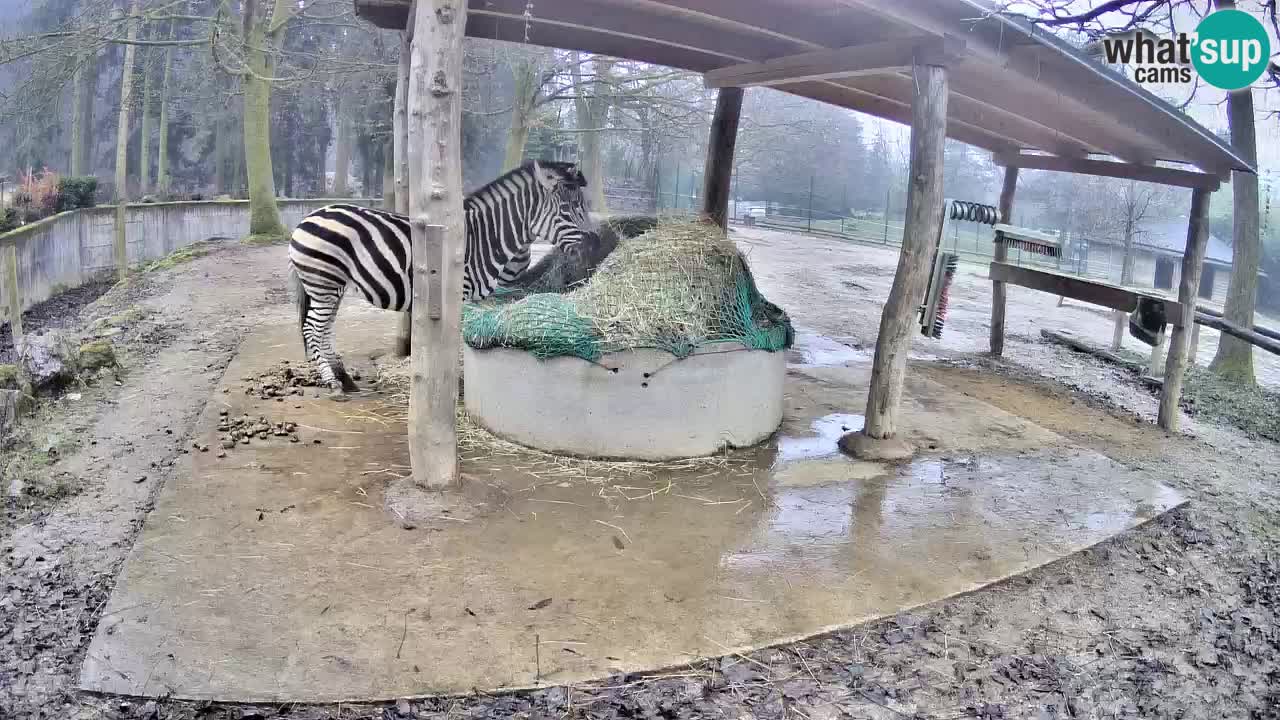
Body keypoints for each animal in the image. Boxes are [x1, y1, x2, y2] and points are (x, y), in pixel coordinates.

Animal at [287, 159, 595, 398]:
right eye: (569, 209)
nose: (594, 246)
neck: (482, 236)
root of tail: (308, 217)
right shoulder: (459, 294)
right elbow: (455, 344)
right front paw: (455, 387)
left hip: (331, 286)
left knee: (325, 329)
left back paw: (345, 378)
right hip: (324, 282)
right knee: (313, 329)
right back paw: (333, 383)